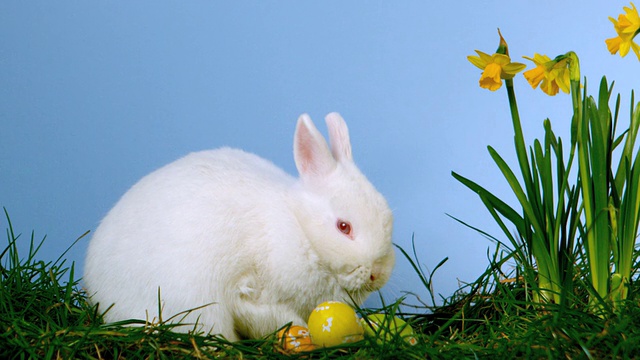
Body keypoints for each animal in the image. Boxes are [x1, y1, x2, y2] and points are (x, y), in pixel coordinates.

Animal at [84, 112, 396, 340]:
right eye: (344, 227)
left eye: (388, 219)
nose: (377, 274)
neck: (302, 230)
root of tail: (95, 287)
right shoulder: (251, 290)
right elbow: (270, 315)